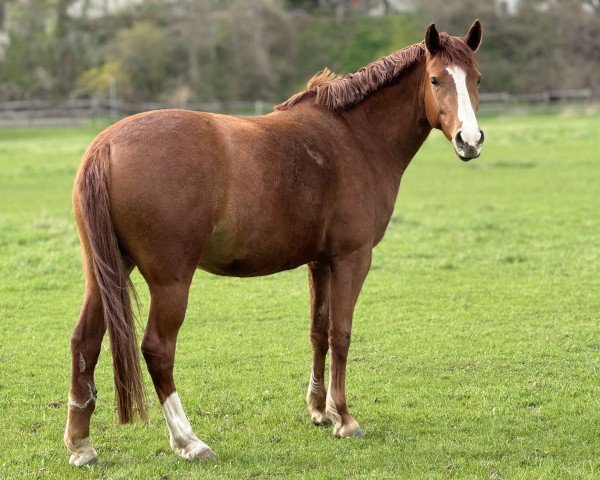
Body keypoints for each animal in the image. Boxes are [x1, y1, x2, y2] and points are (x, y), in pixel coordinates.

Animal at [64, 19, 482, 464]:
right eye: (436, 79)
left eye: (476, 78)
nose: (470, 140)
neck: (353, 137)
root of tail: (106, 145)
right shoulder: (351, 258)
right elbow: (341, 333)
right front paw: (344, 417)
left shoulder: (320, 262)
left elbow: (319, 331)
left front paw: (319, 409)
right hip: (170, 281)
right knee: (157, 350)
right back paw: (188, 440)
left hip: (105, 271)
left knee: (84, 342)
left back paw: (81, 444)